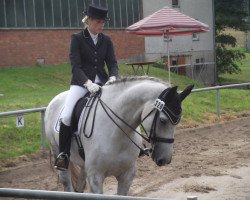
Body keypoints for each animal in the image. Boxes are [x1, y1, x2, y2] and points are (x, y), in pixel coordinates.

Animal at [45, 76, 193, 195]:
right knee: (67, 184)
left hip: (83, 166)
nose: (165, 160)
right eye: (163, 120)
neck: (117, 133)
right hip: (58, 153)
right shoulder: (96, 178)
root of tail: (55, 99)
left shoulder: (127, 176)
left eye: (178, 121)